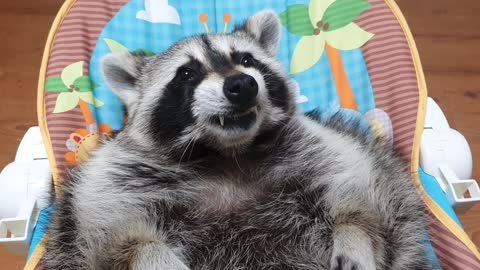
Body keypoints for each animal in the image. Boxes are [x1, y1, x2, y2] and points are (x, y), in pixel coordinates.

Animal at [43, 10, 436, 270]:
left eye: (246, 60)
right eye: (187, 74)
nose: (242, 85)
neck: (227, 152)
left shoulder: (325, 152)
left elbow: (363, 204)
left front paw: (354, 234)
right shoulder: (112, 184)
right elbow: (120, 237)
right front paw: (149, 254)